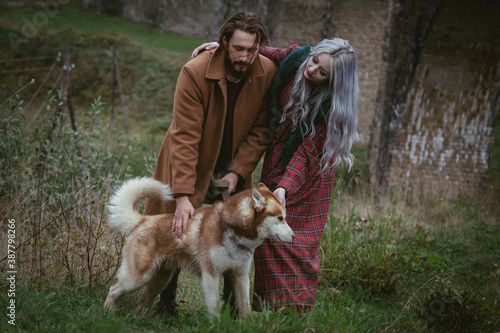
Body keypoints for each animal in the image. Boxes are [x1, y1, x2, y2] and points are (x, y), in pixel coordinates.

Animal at [103, 176, 294, 316]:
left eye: (285, 216)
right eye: (280, 218)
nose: (293, 236)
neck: (229, 229)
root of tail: (143, 220)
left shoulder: (241, 276)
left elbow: (245, 308)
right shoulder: (211, 275)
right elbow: (214, 306)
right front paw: (216, 325)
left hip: (160, 278)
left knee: (143, 301)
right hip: (138, 277)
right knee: (113, 290)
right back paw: (109, 315)